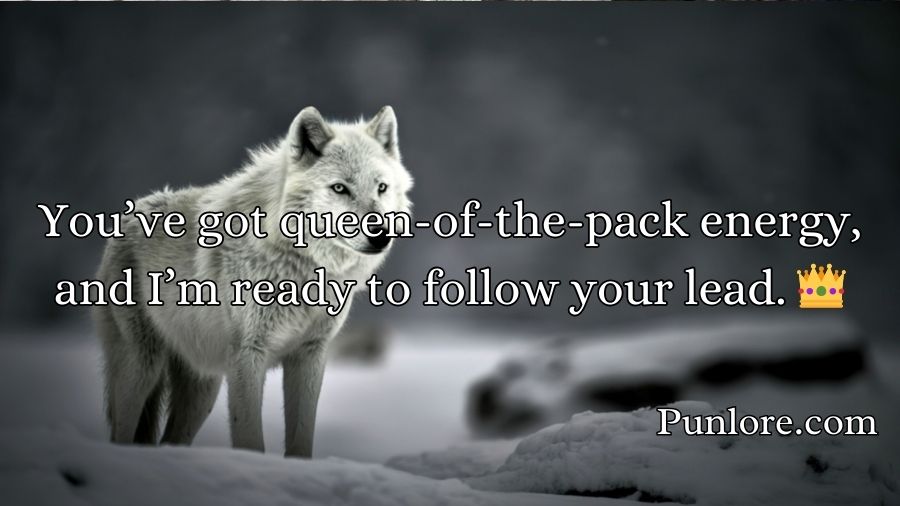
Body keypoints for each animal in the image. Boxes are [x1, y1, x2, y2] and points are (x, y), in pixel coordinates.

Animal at [94, 106, 412, 457]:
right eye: (340, 188)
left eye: (381, 187)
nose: (381, 234)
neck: (303, 270)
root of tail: (134, 208)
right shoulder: (248, 355)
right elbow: (250, 439)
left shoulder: (310, 355)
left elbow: (301, 438)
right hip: (142, 368)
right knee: (120, 434)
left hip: (204, 387)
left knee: (170, 440)